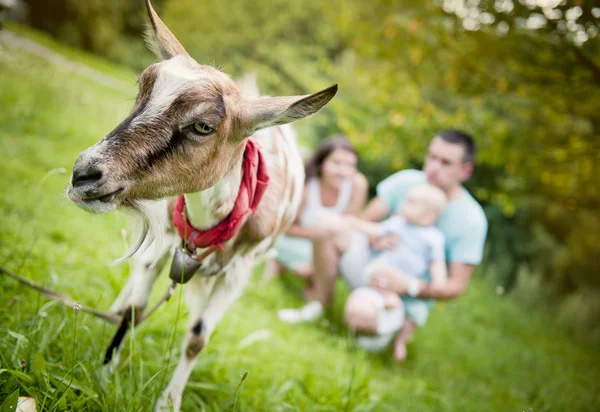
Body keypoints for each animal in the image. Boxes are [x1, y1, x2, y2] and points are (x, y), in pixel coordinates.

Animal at [67, 1, 338, 410]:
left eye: (203, 127)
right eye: (141, 92)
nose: (84, 174)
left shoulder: (238, 272)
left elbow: (197, 339)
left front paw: (168, 401)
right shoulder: (164, 239)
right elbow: (135, 312)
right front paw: (106, 371)